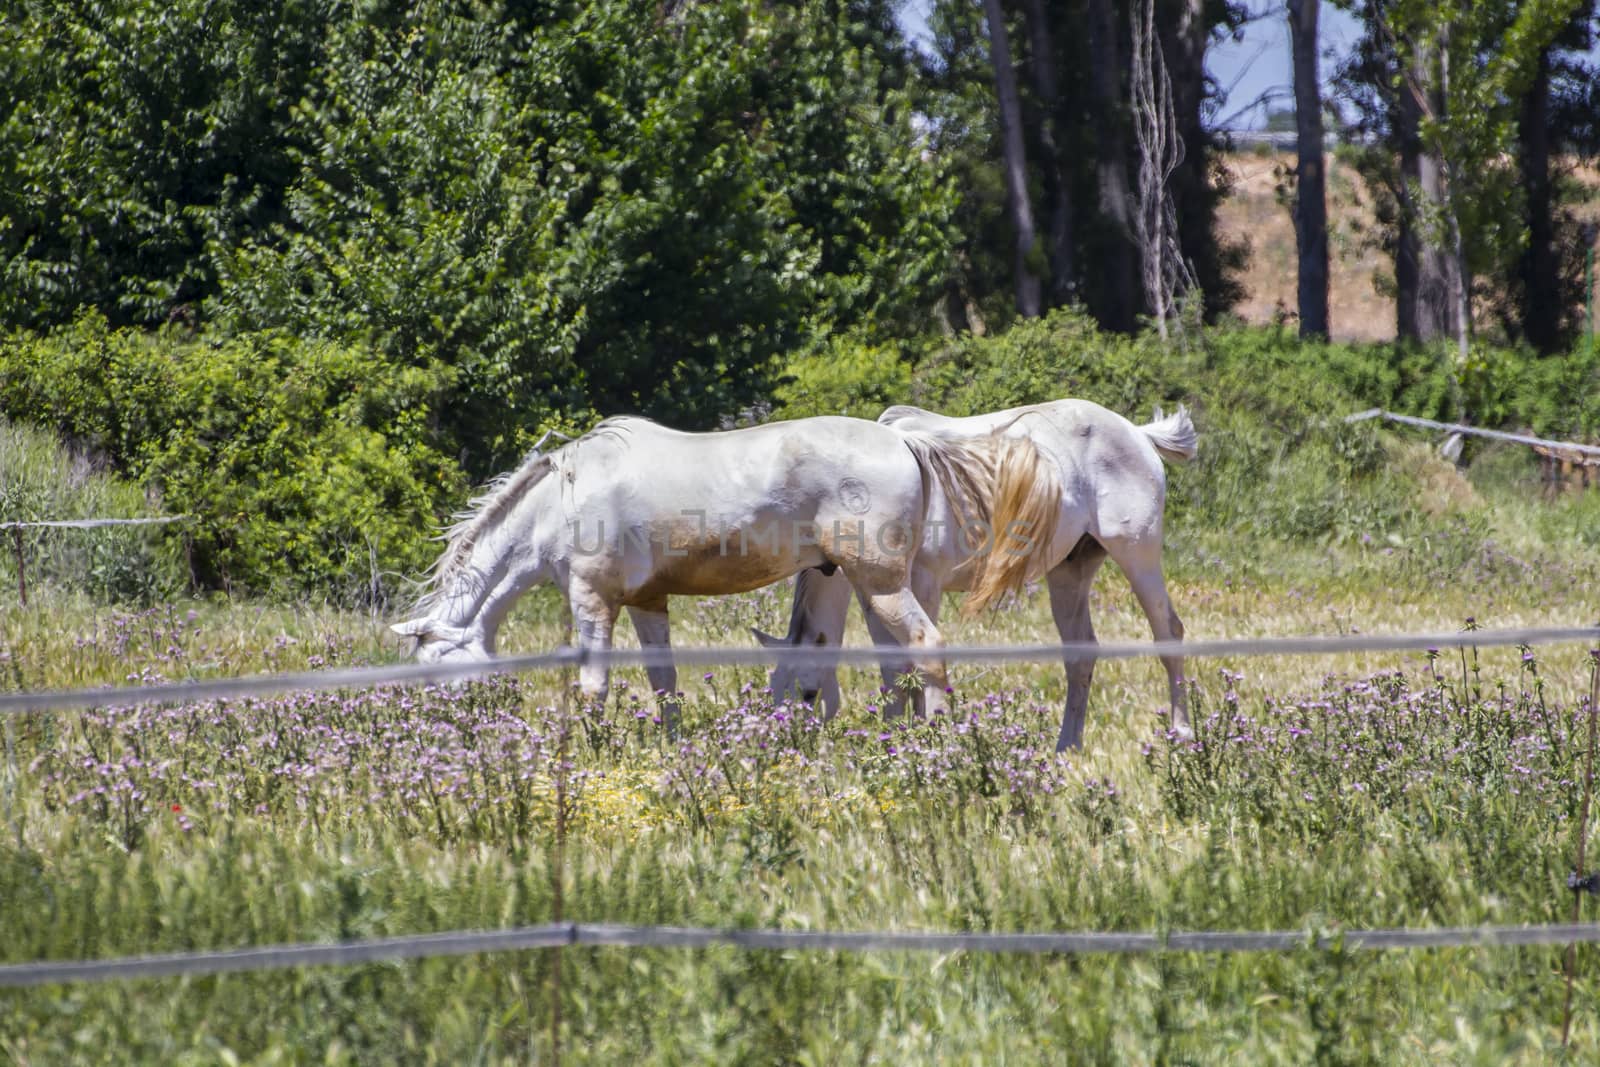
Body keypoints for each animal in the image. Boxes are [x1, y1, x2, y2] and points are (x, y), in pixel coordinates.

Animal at [390, 412, 1062, 723]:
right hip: (873, 589)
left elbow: (593, 687)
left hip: (882, 584)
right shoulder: (648, 603)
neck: (563, 500)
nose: (446, 730)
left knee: (927, 649)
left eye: (432, 668)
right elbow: (664, 684)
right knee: (897, 665)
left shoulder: (592, 601)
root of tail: (906, 442)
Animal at [761, 398, 1203, 751]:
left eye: (808, 695)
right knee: (1080, 657)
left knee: (1169, 635)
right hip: (1070, 572)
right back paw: (1067, 746)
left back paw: (1181, 735)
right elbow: (895, 670)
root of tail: (1138, 434)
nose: (788, 749)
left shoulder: (922, 586)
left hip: (1137, 557)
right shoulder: (877, 595)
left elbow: (919, 666)